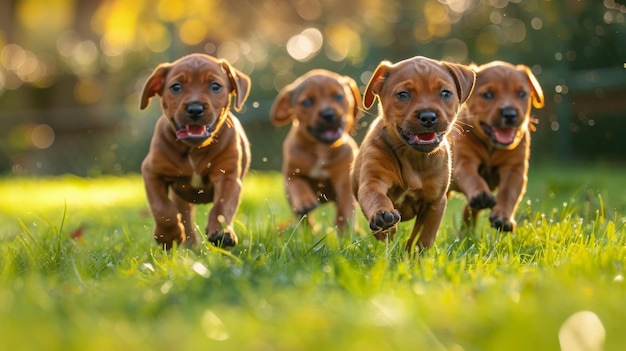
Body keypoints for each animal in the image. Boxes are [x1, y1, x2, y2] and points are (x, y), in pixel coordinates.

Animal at [268, 69, 360, 231]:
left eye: (338, 96)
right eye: (307, 102)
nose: (328, 114)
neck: (321, 149)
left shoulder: (344, 179)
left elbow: (345, 207)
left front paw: (344, 231)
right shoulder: (291, 173)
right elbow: (297, 185)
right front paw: (305, 201)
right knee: (304, 220)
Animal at [352, 56, 472, 252]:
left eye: (445, 93)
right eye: (403, 95)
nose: (428, 117)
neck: (412, 157)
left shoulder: (434, 202)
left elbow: (424, 236)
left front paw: (415, 255)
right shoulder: (372, 181)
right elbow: (376, 197)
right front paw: (382, 215)